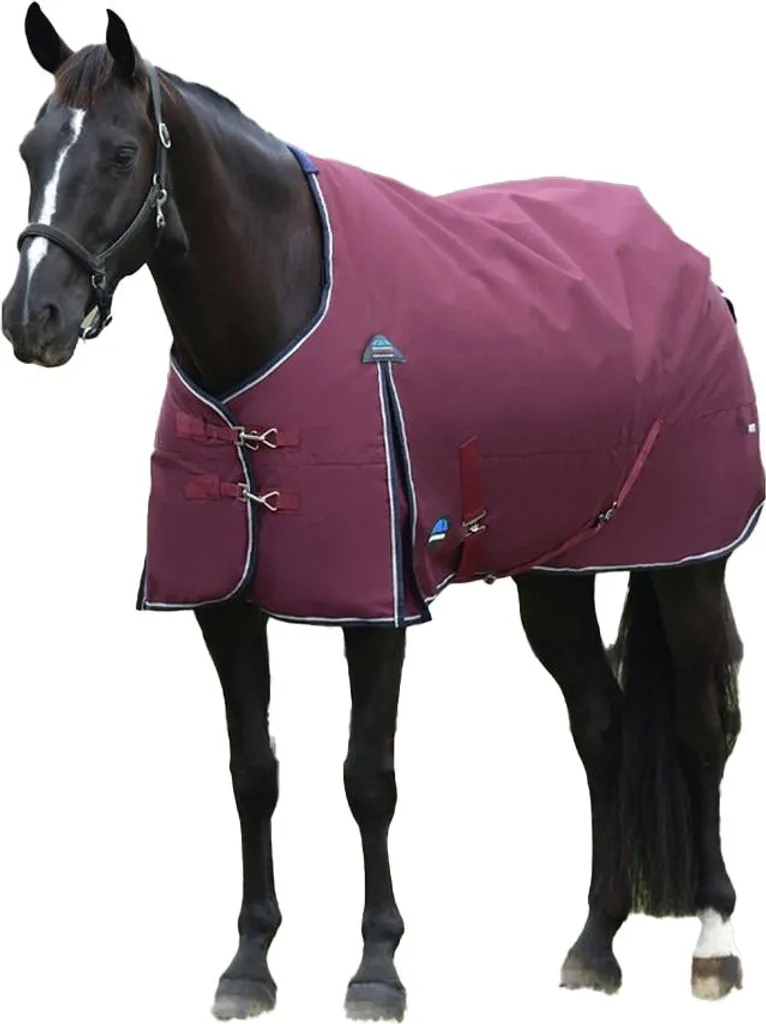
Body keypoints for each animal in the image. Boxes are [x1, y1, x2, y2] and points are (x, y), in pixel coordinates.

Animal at [2, 5, 763, 1020]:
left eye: (123, 153)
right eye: (30, 148)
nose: (32, 319)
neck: (277, 318)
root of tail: (692, 268)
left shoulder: (377, 605)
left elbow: (369, 779)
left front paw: (376, 967)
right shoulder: (223, 608)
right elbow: (252, 773)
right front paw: (249, 964)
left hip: (688, 564)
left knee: (700, 727)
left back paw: (714, 945)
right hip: (555, 577)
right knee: (600, 728)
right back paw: (594, 946)